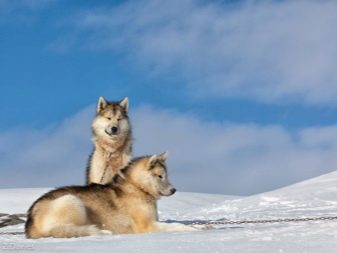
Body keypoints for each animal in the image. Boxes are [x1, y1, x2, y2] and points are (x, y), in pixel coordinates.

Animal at [26, 153, 200, 238]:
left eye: (166, 175)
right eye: (159, 176)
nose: (173, 190)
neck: (137, 187)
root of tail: (30, 224)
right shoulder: (147, 226)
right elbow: (177, 226)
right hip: (71, 200)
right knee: (67, 230)